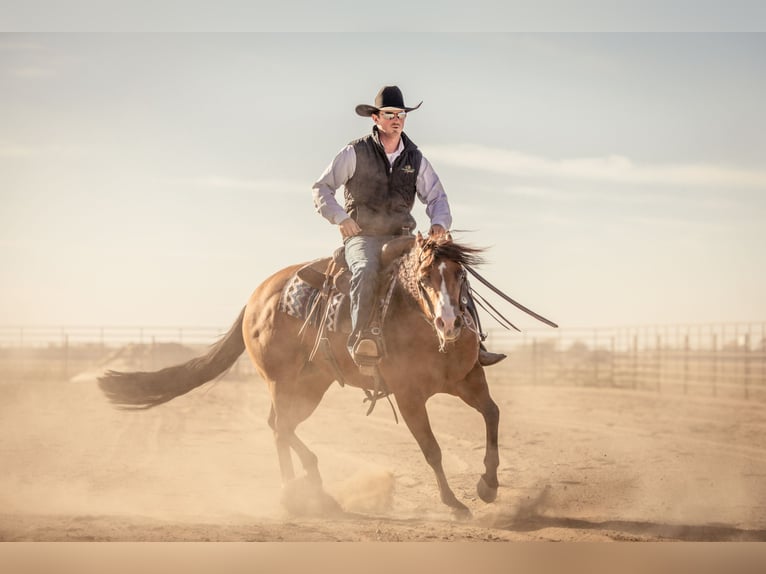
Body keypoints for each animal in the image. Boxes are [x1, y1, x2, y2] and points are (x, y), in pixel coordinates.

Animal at [97, 232, 504, 520]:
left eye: (459, 274)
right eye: (423, 277)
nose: (449, 323)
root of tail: (257, 297)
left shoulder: (468, 380)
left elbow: (492, 414)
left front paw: (488, 485)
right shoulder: (408, 395)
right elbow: (432, 449)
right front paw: (454, 503)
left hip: (310, 386)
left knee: (281, 424)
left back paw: (313, 488)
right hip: (282, 382)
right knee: (279, 427)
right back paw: (298, 494)